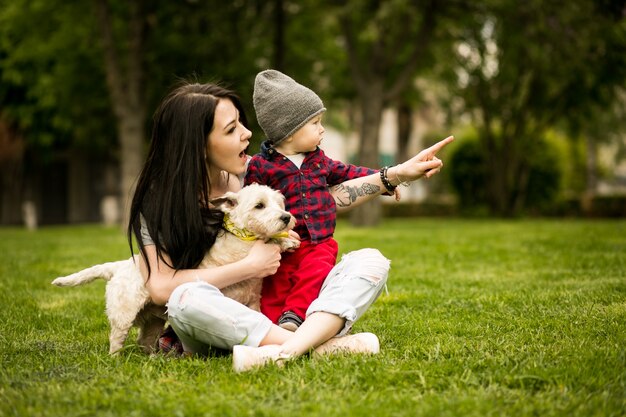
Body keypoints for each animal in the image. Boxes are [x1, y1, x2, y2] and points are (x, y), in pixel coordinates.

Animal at [52, 184, 298, 354]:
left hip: (153, 319)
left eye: (280, 204)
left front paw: (288, 239)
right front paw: (284, 241)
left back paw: (152, 358)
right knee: (116, 338)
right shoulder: (242, 255)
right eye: (259, 205)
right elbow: (267, 241)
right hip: (124, 312)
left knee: (144, 340)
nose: (286, 217)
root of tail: (118, 266)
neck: (241, 234)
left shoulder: (253, 301)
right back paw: (116, 359)